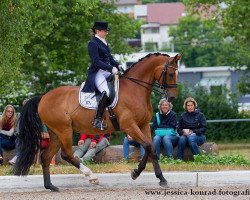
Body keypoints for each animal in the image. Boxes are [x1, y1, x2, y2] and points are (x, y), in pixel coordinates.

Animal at [13, 52, 181, 191]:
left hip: (55, 133)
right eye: (171, 74)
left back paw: (50, 186)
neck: (135, 89)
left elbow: (151, 148)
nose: (172, 97)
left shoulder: (143, 125)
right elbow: (148, 147)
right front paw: (141, 173)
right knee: (67, 155)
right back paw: (91, 176)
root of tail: (43, 97)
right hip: (64, 130)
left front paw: (156, 177)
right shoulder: (130, 126)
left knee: (46, 157)